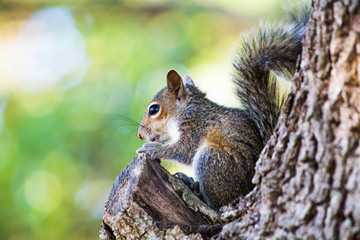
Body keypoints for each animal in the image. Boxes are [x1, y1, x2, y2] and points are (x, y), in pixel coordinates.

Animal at [135, 9, 310, 208]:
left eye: (154, 110)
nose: (139, 134)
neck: (187, 110)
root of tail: (248, 187)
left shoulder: (195, 128)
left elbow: (182, 151)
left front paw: (150, 148)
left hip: (211, 159)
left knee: (217, 204)